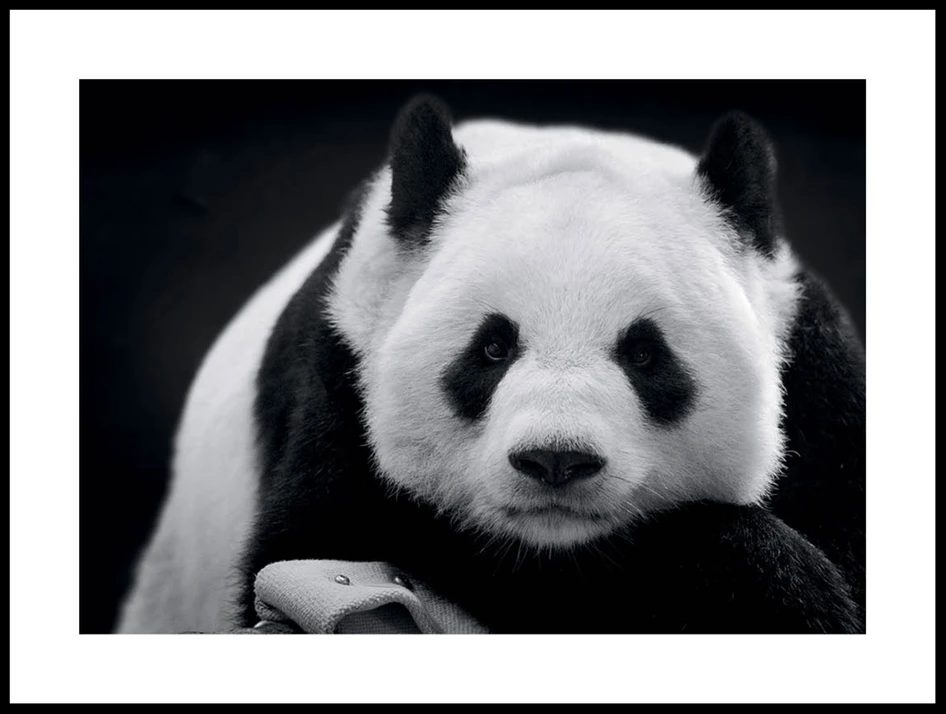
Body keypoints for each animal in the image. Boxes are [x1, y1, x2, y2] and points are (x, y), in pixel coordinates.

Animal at [116, 94, 865, 635]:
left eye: (644, 353)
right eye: (493, 348)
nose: (556, 460)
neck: (560, 545)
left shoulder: (818, 389)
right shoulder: (341, 373)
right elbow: (323, 539)